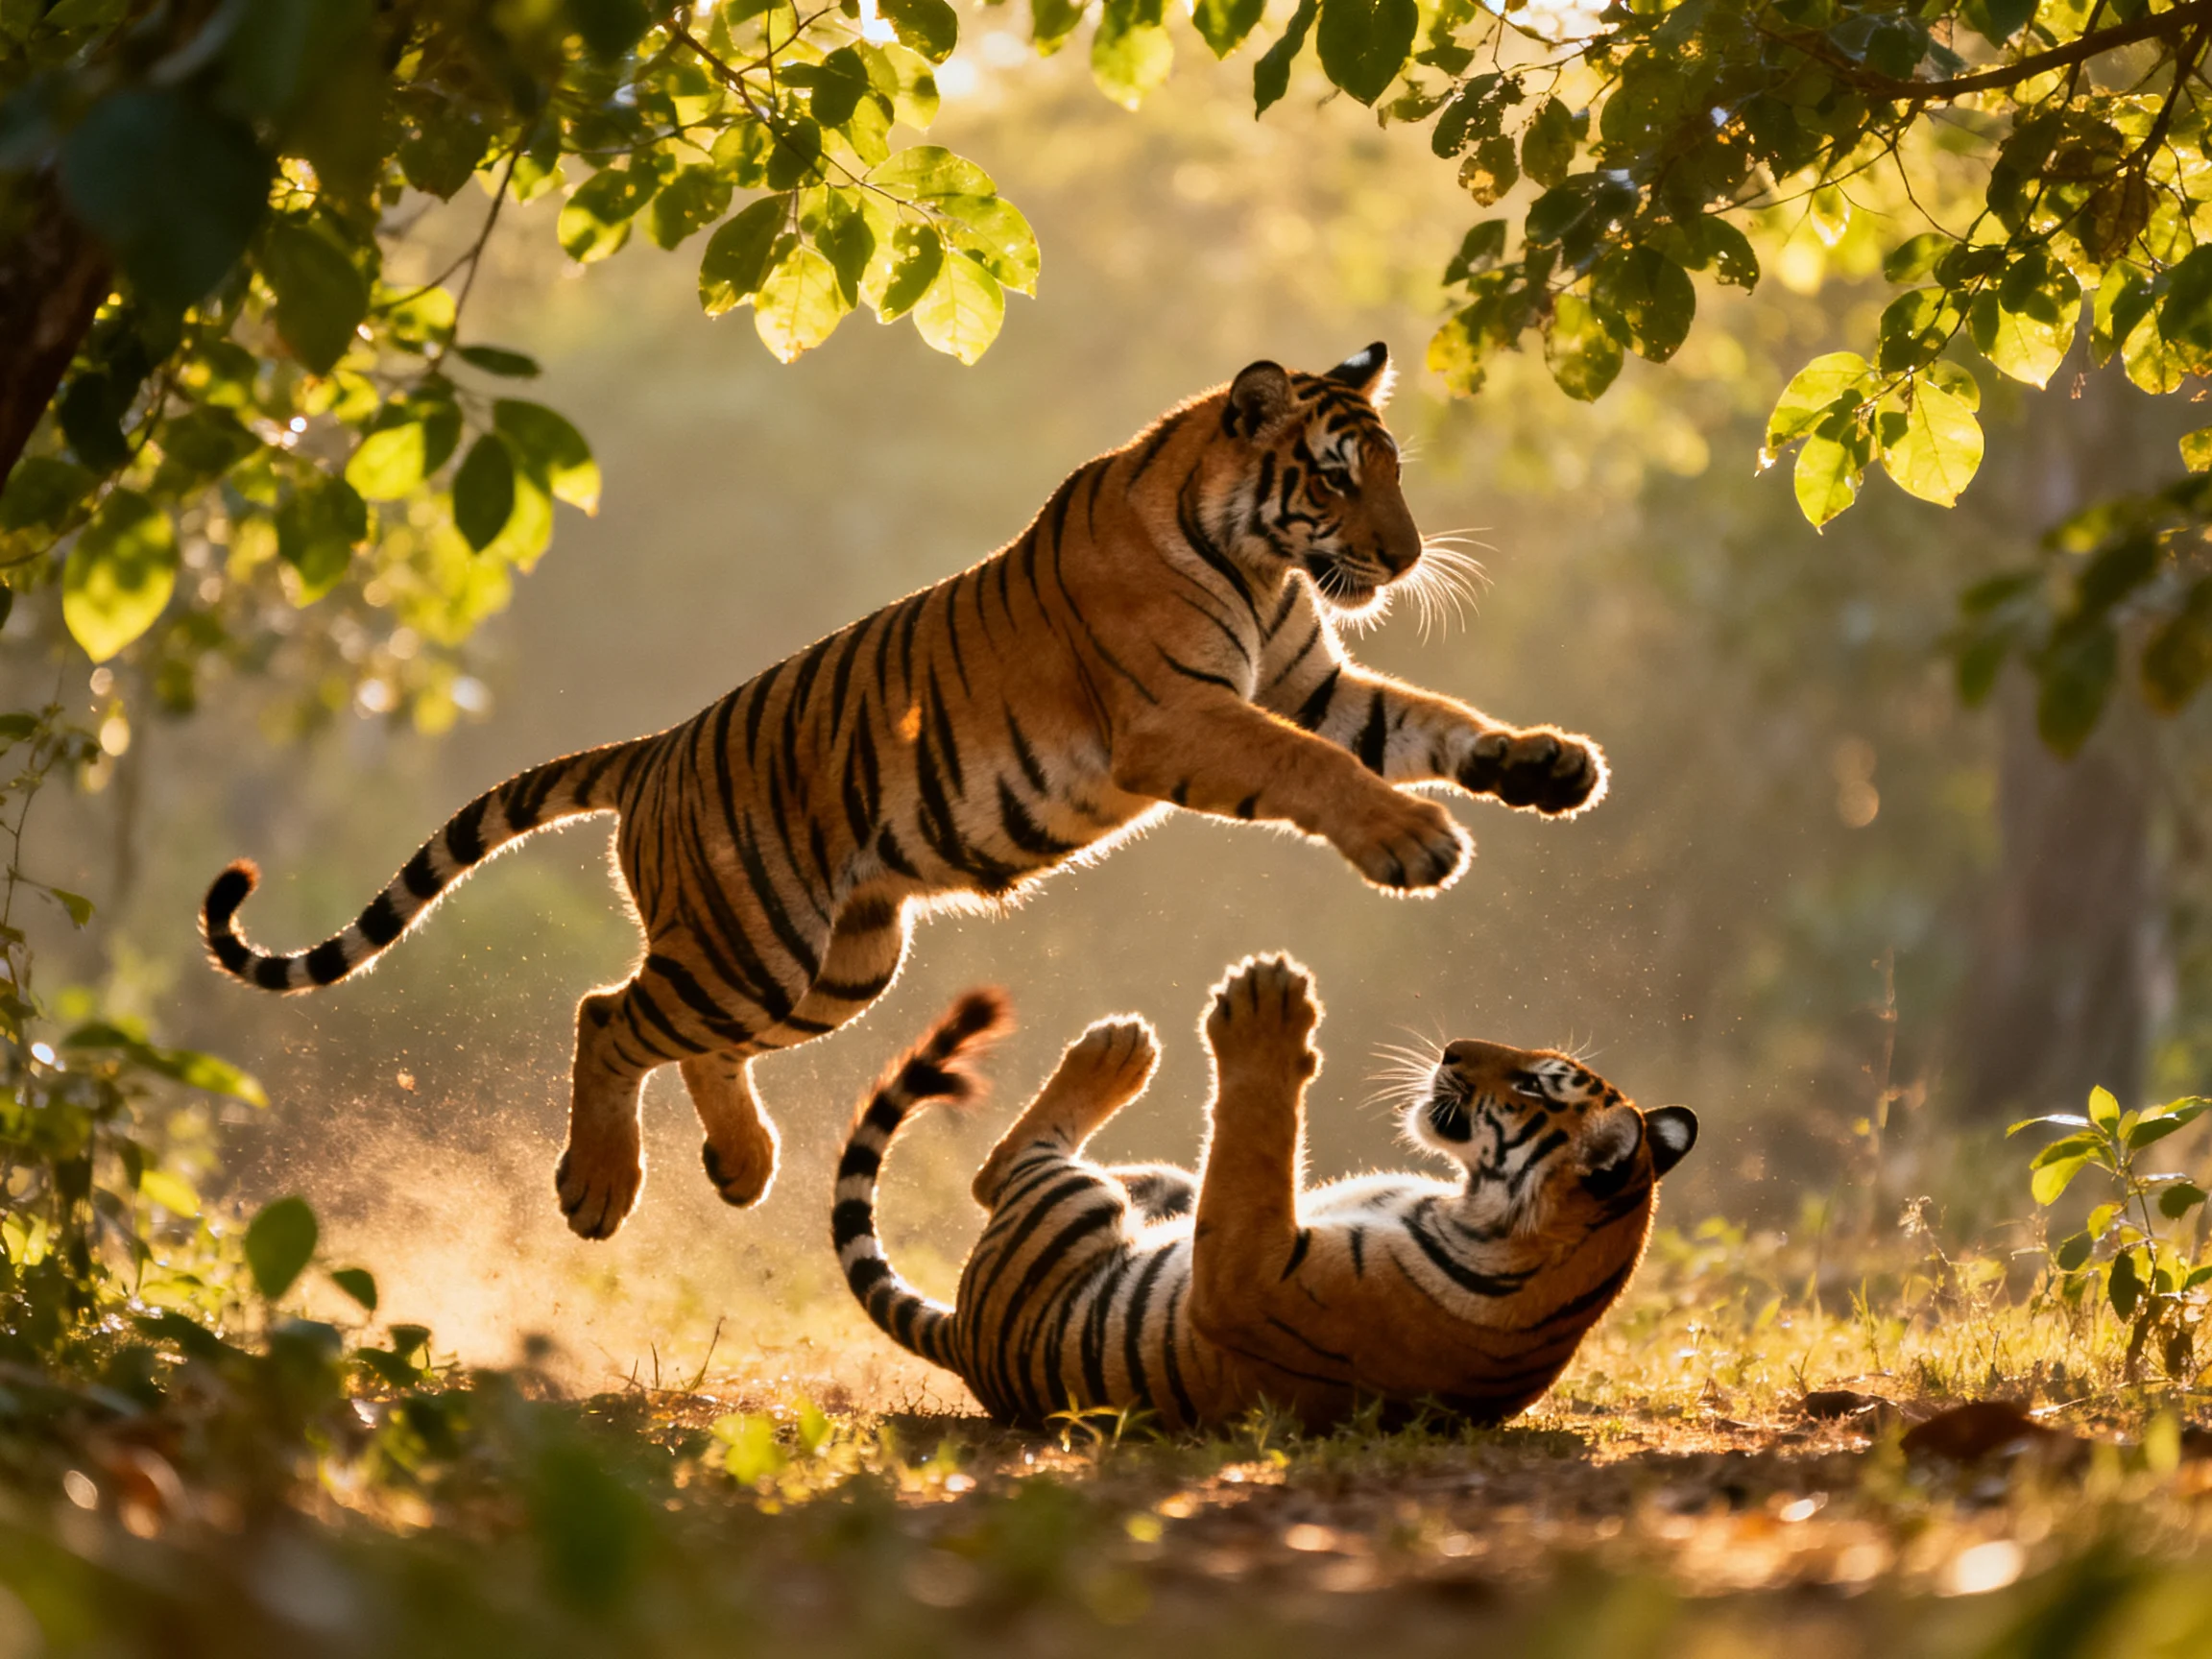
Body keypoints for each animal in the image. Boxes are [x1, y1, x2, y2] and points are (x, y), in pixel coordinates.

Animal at [200, 344, 1609, 1242]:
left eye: (1390, 471)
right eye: (1333, 475)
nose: (1406, 557)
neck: (1263, 564)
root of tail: (656, 748)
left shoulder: (1315, 680)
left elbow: (1431, 723)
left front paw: (1547, 764)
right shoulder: (1183, 716)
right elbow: (1319, 766)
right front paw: (1414, 840)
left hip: (837, 961)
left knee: (687, 1038)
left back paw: (742, 1165)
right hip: (756, 946)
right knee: (610, 1015)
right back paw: (600, 1190)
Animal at [834, 956, 1696, 1431]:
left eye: (1533, 1084)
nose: (1453, 1048)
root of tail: (963, 1334)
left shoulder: (1248, 1274)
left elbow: (1256, 1132)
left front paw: (1267, 1009)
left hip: (1077, 1197)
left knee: (999, 1167)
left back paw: (1118, 1049)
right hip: (1153, 1185)